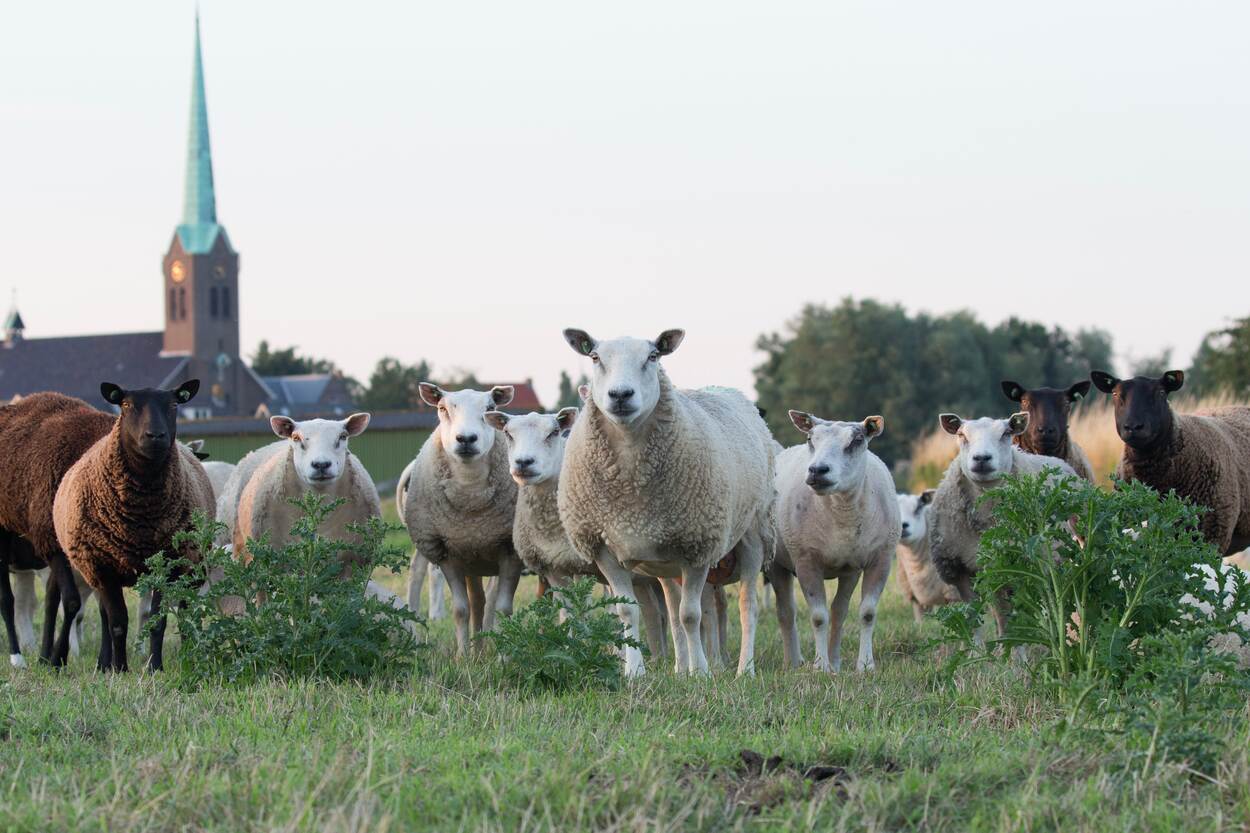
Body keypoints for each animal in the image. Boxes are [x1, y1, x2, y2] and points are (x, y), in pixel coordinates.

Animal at [0, 392, 113, 665]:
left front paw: (105, 663)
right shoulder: (50, 541)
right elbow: (70, 602)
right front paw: (56, 658)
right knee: (7, 599)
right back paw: (17, 657)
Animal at [402, 382, 525, 655]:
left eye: (490, 408)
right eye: (442, 408)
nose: (466, 439)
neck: (471, 496)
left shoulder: (510, 551)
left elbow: (503, 609)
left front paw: (503, 657)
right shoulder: (447, 552)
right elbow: (461, 610)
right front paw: (463, 656)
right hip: (471, 558)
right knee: (477, 601)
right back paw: (477, 650)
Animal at [555, 325, 770, 675]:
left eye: (653, 356)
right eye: (595, 357)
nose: (620, 395)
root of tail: (725, 389)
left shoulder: (698, 545)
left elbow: (691, 615)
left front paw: (702, 673)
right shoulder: (604, 548)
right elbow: (631, 612)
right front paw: (634, 672)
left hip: (753, 533)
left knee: (746, 605)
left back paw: (743, 669)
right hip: (664, 561)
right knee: (671, 607)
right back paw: (680, 668)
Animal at [770, 412, 900, 670]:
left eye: (857, 440)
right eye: (810, 439)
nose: (817, 470)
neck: (843, 513)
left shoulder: (880, 559)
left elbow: (867, 613)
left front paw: (865, 666)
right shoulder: (806, 560)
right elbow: (819, 617)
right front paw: (821, 666)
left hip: (849, 570)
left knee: (839, 611)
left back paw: (836, 662)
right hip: (776, 562)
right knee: (786, 612)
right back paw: (793, 663)